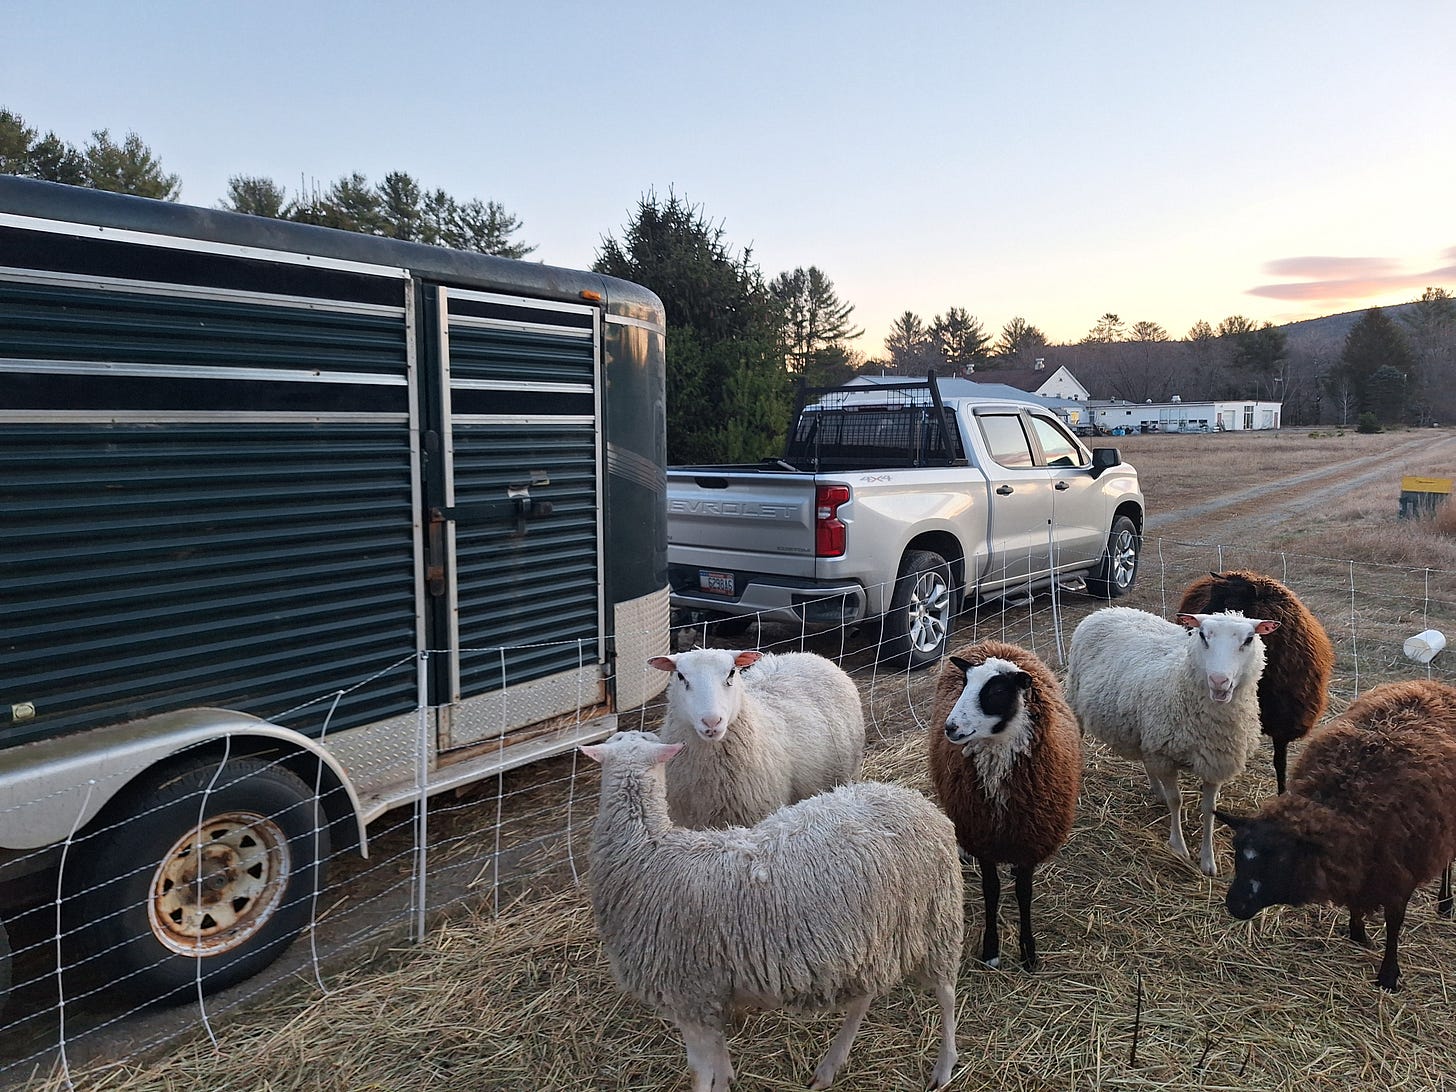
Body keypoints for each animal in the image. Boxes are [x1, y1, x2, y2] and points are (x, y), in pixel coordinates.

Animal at [580, 729, 963, 1091]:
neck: (646, 848)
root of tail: (918, 801)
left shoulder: (688, 995)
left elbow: (698, 1072)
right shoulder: (710, 995)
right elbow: (717, 1055)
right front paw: (727, 1078)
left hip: (937, 917)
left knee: (946, 995)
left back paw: (944, 1067)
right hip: (875, 937)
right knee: (864, 997)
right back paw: (830, 1066)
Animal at [927, 640, 1081, 971]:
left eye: (996, 691)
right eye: (965, 685)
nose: (950, 727)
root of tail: (992, 643)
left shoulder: (1030, 838)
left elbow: (1023, 892)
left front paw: (1029, 952)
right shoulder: (982, 835)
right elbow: (991, 890)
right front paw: (991, 950)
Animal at [1065, 607, 1279, 876]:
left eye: (1249, 639)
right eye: (1203, 635)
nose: (1219, 681)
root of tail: (1106, 610)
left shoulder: (1214, 762)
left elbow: (1209, 810)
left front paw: (1208, 861)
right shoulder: (1164, 756)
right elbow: (1175, 801)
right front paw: (1178, 847)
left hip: (1143, 730)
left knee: (1145, 759)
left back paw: (1156, 789)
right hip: (1075, 701)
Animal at [1176, 569, 1335, 793]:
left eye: (1231, 603)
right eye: (1211, 597)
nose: (1189, 629)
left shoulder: (1284, 723)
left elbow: (1280, 762)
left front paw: (1282, 792)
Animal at [1219, 679, 1456, 991]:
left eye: (1282, 861)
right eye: (1236, 852)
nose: (1235, 905)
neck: (1344, 797)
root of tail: (1433, 684)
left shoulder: (1399, 874)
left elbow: (1394, 923)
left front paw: (1388, 976)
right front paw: (1357, 932)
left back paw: (1445, 902)